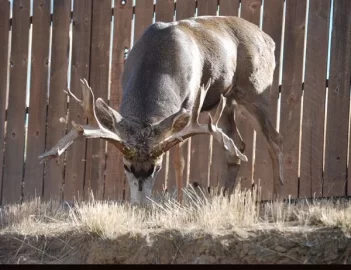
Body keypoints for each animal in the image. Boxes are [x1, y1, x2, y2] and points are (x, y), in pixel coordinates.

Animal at [40, 15, 284, 205]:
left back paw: (277, 196)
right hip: (223, 103)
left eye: (157, 168)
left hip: (255, 90)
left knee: (274, 139)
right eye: (126, 166)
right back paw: (223, 197)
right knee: (237, 144)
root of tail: (270, 40)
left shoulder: (190, 105)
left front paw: (180, 204)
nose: (140, 204)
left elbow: (180, 162)